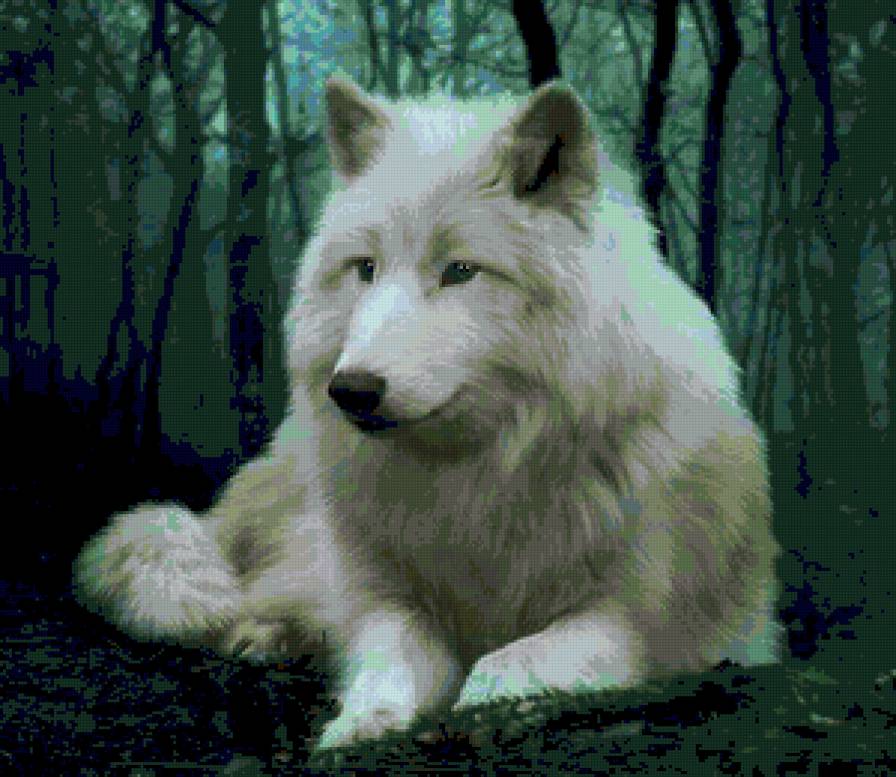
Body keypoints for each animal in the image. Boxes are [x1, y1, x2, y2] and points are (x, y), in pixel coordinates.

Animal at [74, 77, 783, 750]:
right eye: (365, 268)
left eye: (460, 271)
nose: (351, 389)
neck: (480, 474)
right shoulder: (385, 597)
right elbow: (387, 659)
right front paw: (361, 722)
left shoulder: (636, 618)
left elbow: (516, 658)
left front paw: (484, 699)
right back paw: (266, 635)